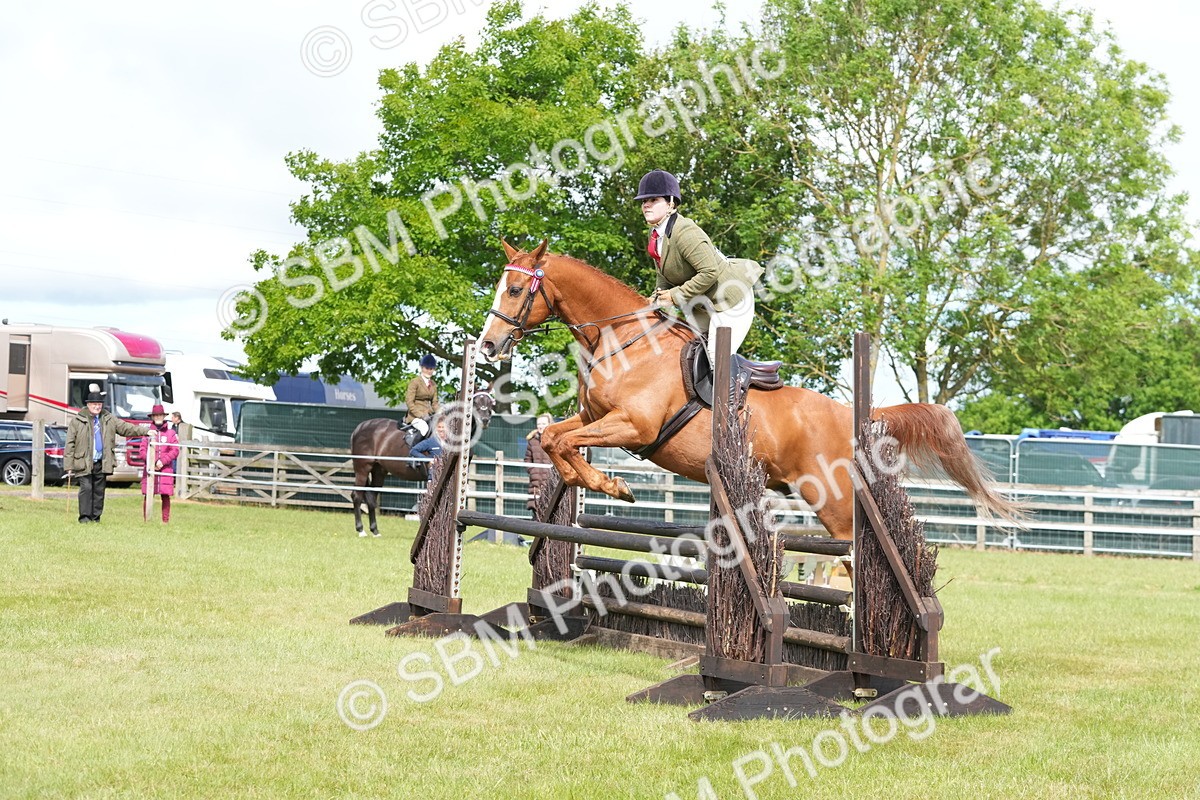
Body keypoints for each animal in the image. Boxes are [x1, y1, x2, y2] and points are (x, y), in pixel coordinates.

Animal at [351, 390, 496, 537]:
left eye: (490, 403)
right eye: (474, 402)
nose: (485, 420)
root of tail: (359, 428)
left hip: (379, 470)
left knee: (371, 498)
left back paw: (375, 530)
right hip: (363, 468)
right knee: (357, 496)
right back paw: (360, 530)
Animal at [477, 239, 1023, 544]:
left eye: (515, 290)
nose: (487, 345)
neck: (623, 341)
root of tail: (853, 416)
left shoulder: (633, 427)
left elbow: (565, 442)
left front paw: (613, 486)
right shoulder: (595, 420)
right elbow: (554, 438)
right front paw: (595, 481)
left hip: (834, 503)